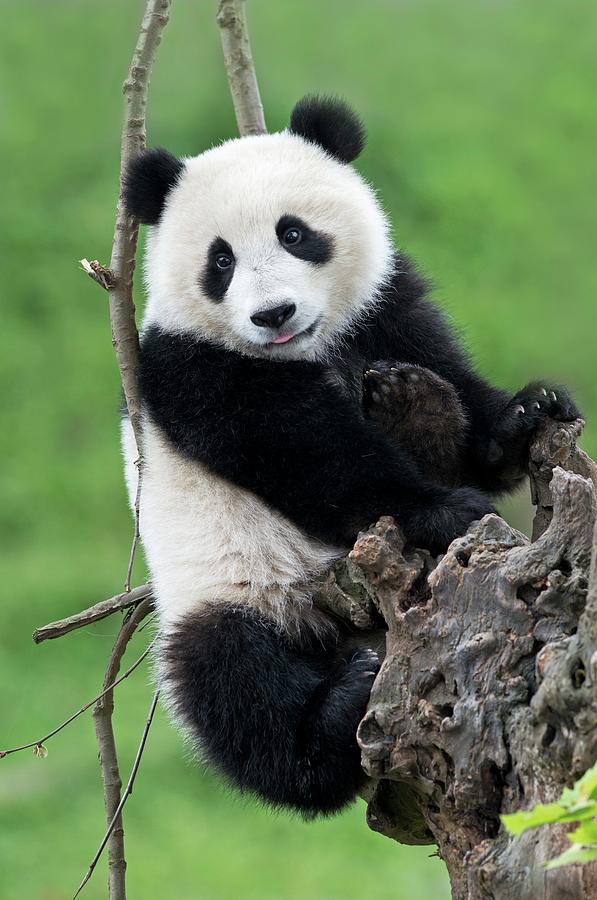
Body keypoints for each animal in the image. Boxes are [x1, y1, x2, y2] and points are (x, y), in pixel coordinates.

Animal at [121, 96, 576, 816]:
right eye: (220, 261)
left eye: (294, 234)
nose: (273, 313)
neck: (307, 348)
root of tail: (352, 631)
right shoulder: (190, 367)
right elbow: (303, 451)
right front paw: (442, 510)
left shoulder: (384, 308)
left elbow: (440, 367)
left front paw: (526, 413)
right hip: (229, 591)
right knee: (233, 685)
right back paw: (333, 715)